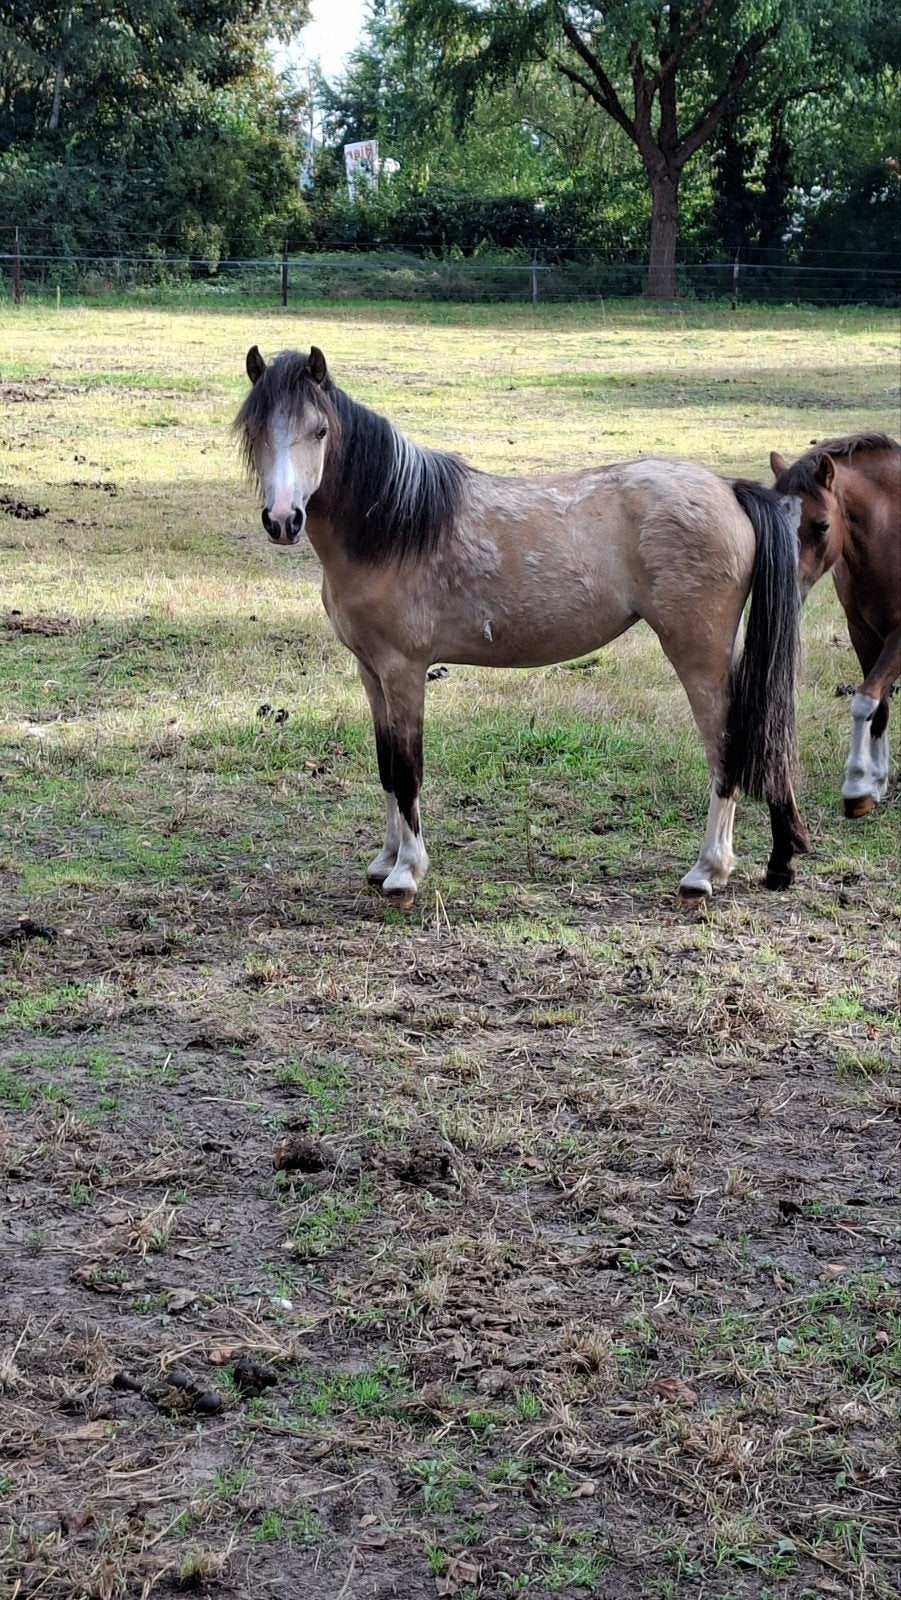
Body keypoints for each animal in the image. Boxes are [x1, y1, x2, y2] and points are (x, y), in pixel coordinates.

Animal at [235, 344, 809, 908]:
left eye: (320, 431)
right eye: (257, 431)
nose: (283, 520)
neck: (395, 527)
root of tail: (729, 491)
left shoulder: (404, 671)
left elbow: (408, 769)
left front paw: (406, 873)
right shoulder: (371, 673)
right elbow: (386, 768)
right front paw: (383, 862)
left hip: (699, 656)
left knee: (727, 747)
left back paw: (707, 871)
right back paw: (778, 862)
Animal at [771, 434, 901, 817]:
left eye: (823, 525)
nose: (786, 590)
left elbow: (865, 699)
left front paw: (856, 784)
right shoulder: (861, 632)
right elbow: (879, 703)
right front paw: (876, 782)